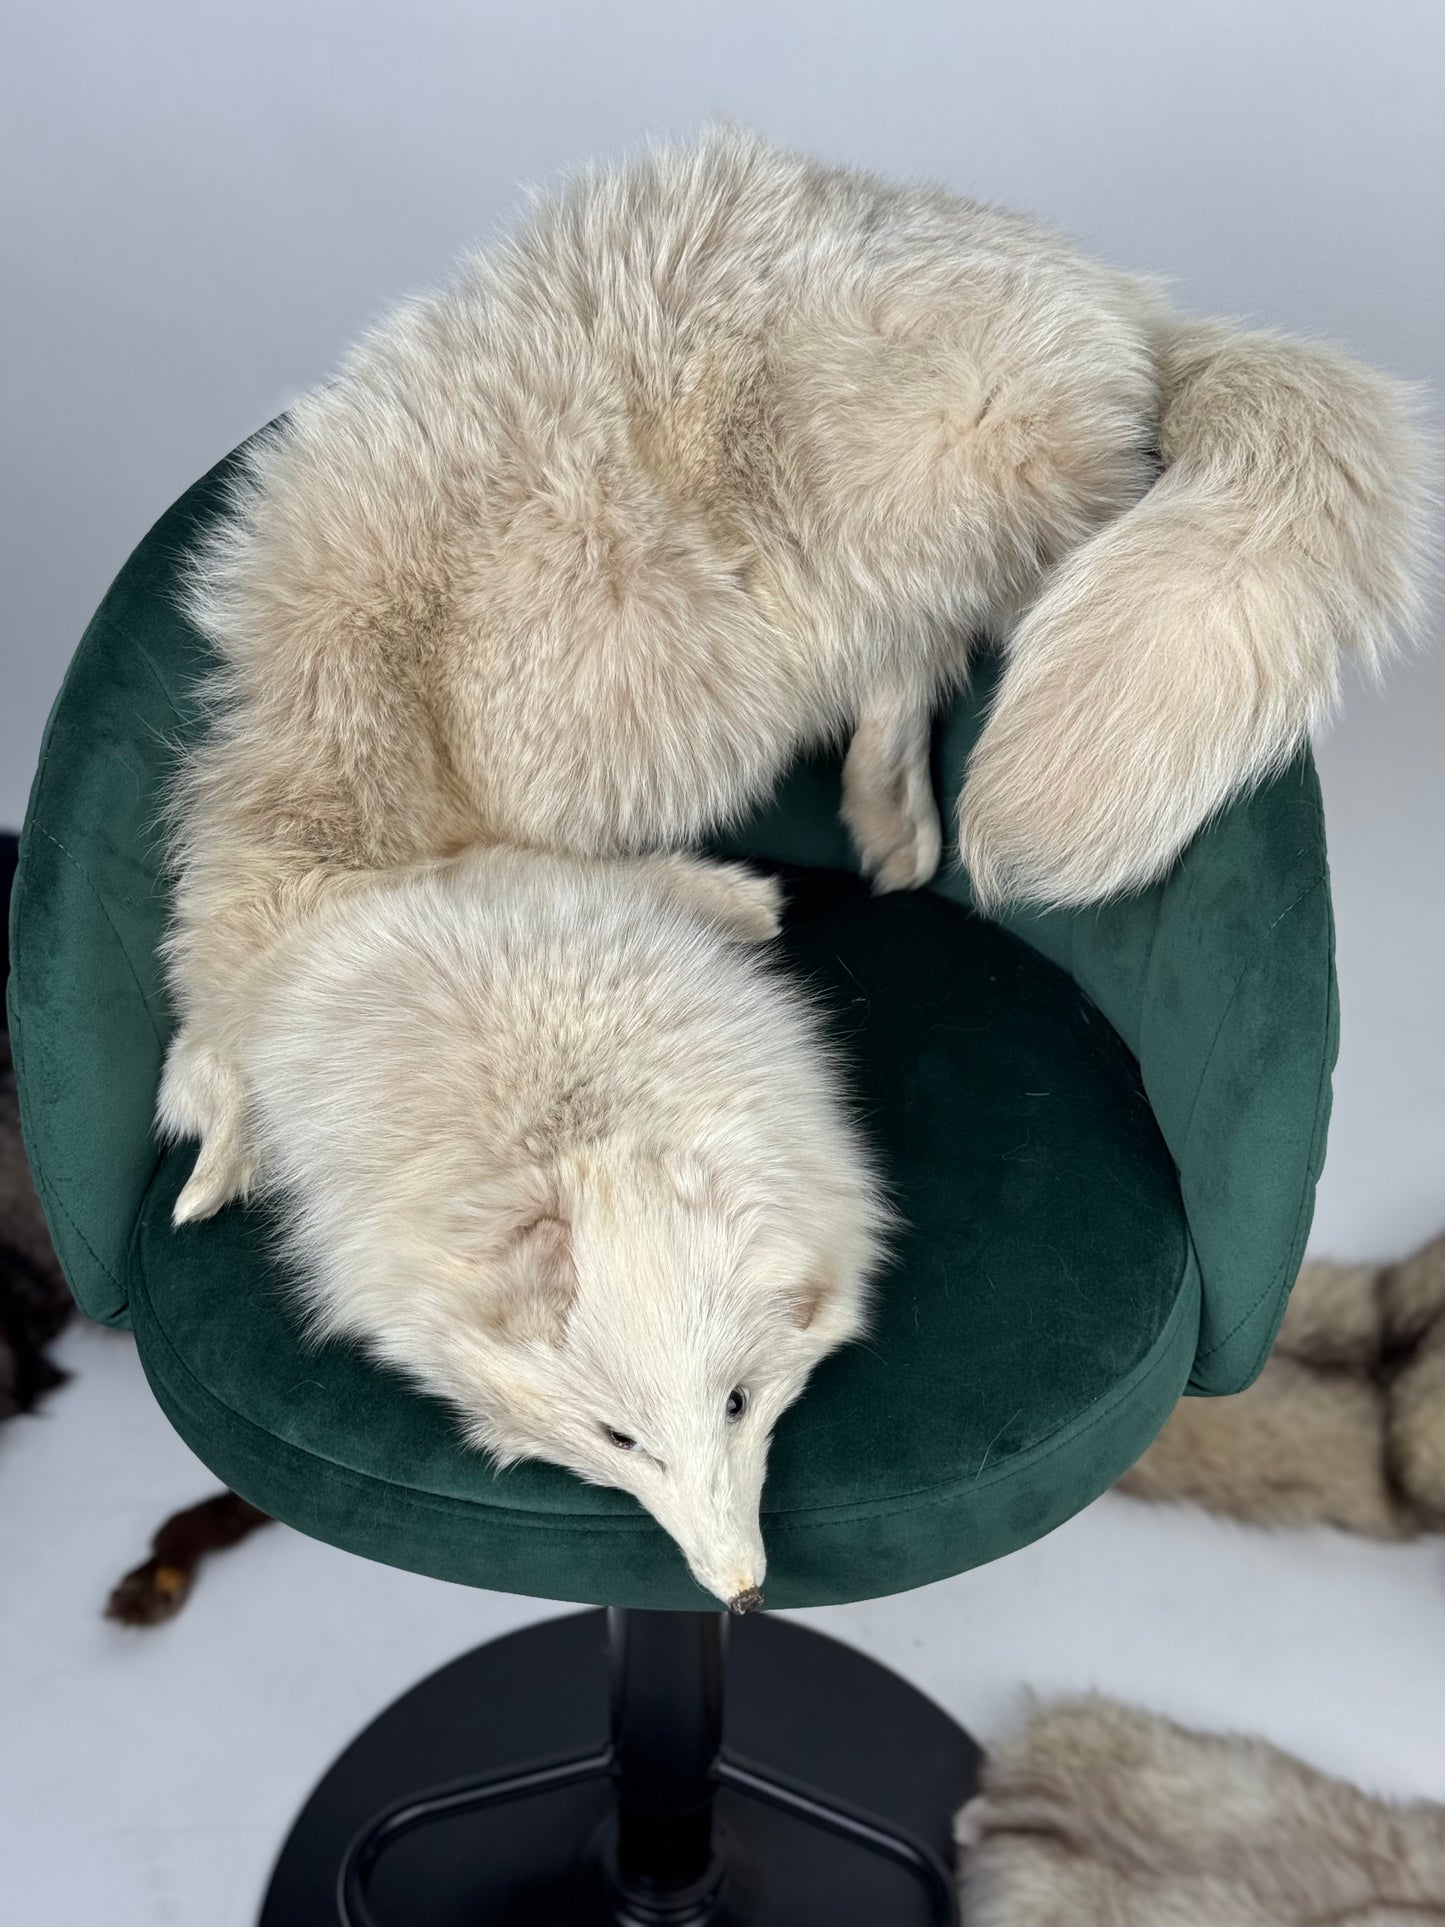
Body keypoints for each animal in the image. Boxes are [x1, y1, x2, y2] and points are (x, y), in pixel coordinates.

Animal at [159, 126, 1428, 1224]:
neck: (371, 718)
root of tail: (1118, 300)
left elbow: (576, 869)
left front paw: (717, 899)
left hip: (879, 489)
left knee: (922, 635)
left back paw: (889, 801)